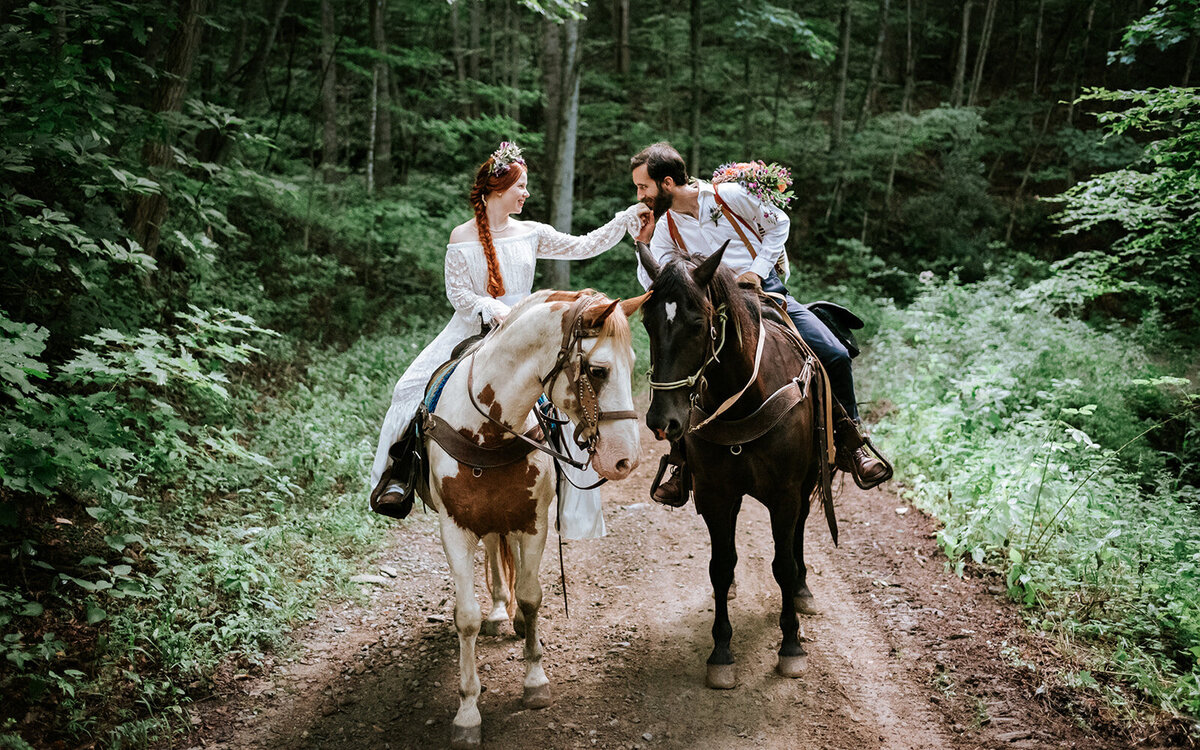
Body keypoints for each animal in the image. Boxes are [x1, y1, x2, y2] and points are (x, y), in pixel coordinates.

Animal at [424, 288, 648, 748]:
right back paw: (495, 613)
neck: (489, 431)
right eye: (598, 371)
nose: (626, 460)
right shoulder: (454, 529)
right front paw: (467, 712)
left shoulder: (532, 523)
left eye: (633, 364)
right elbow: (465, 618)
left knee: (500, 548)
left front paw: (534, 682)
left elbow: (530, 598)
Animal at [638, 242, 835, 686]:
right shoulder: (716, 495)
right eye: (646, 322)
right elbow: (721, 567)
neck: (744, 397)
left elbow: (782, 565)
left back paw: (803, 589)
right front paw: (721, 652)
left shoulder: (784, 495)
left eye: (698, 324)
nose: (663, 421)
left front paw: (791, 646)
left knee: (798, 533)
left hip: (804, 485)